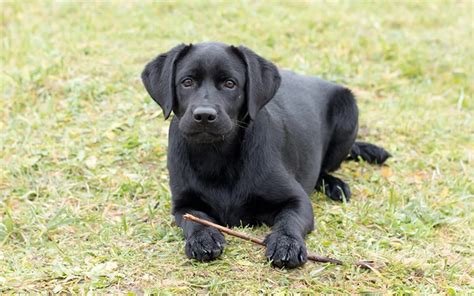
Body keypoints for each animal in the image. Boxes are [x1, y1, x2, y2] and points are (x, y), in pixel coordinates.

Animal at [141, 41, 388, 268]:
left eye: (230, 84)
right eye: (187, 82)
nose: (203, 115)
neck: (217, 156)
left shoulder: (297, 200)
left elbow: (289, 220)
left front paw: (286, 243)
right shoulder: (182, 204)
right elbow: (195, 219)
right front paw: (203, 238)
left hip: (348, 112)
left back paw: (334, 185)